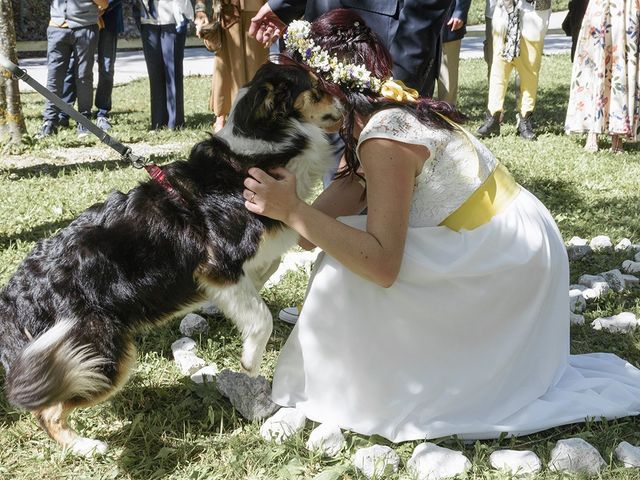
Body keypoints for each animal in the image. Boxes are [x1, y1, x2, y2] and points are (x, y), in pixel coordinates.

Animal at [0, 62, 340, 456]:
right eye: (317, 87)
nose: (348, 100)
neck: (255, 153)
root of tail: (13, 295)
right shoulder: (217, 264)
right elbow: (260, 316)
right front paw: (251, 360)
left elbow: (264, 272)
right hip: (96, 355)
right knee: (48, 410)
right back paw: (85, 446)